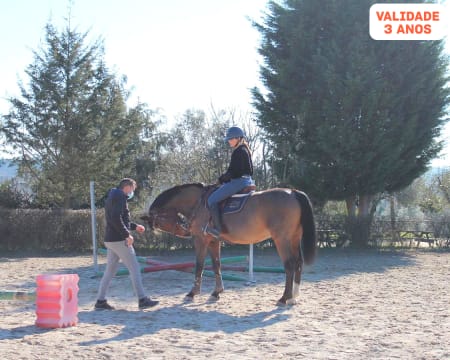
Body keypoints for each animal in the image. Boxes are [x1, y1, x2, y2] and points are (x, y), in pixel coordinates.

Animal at [142, 184, 316, 306]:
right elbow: (216, 265)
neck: (198, 203)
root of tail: (293, 192)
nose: (184, 230)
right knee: (298, 263)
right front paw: (216, 292)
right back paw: (294, 297)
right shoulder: (213, 241)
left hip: (282, 239)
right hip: (294, 238)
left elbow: (199, 266)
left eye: (157, 222)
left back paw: (284, 298)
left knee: (289, 265)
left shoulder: (201, 240)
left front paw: (192, 293)